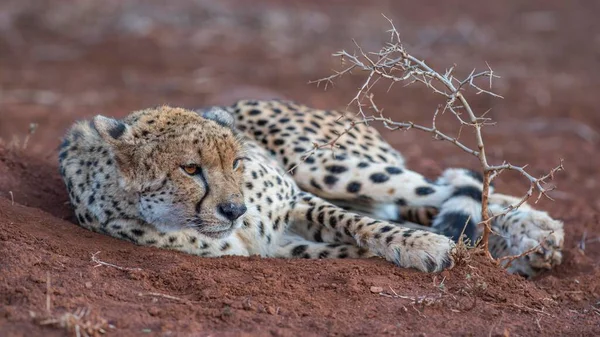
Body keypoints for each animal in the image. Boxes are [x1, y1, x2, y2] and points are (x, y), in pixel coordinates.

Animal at [57, 99, 564, 276]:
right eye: (190, 169)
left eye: (236, 161)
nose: (235, 210)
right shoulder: (273, 248)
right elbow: (351, 248)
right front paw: (426, 247)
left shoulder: (295, 197)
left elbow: (358, 225)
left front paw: (422, 247)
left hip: (326, 164)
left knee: (441, 188)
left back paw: (538, 232)